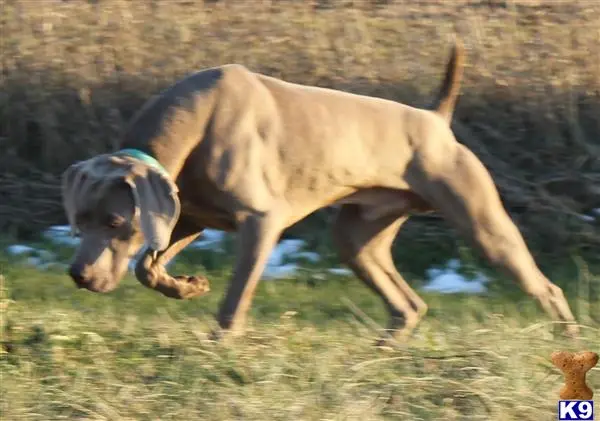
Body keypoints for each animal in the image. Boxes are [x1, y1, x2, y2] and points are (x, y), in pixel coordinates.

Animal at [61, 39, 576, 342]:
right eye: (77, 223)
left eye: (115, 221)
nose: (78, 276)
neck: (188, 124)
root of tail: (436, 119)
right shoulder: (189, 214)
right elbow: (146, 267)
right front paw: (187, 287)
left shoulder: (260, 221)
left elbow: (233, 301)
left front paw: (218, 348)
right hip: (357, 237)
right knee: (409, 305)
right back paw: (382, 353)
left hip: (483, 226)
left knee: (546, 287)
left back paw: (568, 345)